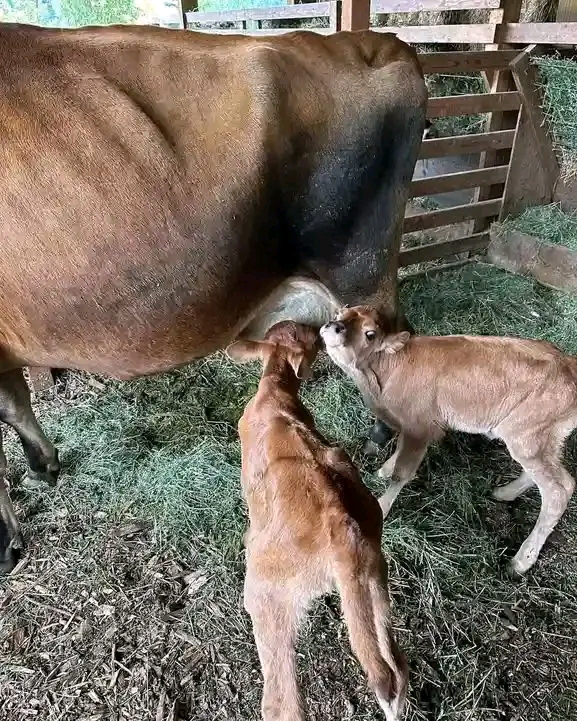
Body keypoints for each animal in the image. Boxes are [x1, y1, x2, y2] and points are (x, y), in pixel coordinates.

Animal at [0, 23, 427, 572]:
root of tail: (378, 41)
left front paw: (5, 542)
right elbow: (14, 405)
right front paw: (43, 466)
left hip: (362, 270)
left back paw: (385, 445)